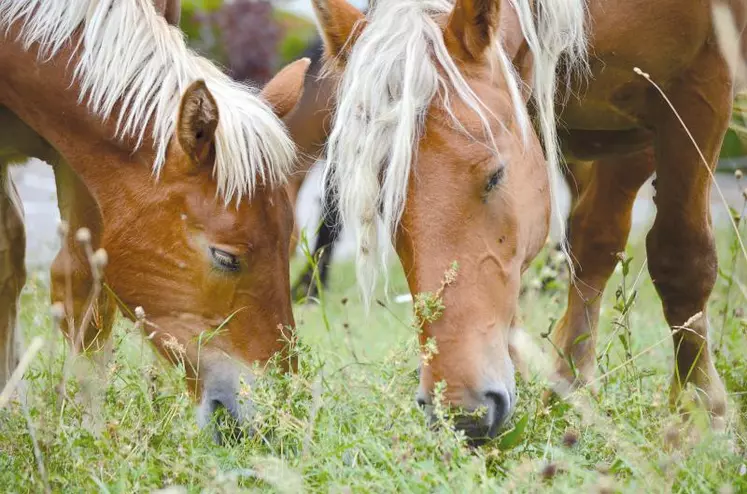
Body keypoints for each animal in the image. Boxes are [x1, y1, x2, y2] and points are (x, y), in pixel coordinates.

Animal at [312, 0, 740, 440]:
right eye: (383, 201)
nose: (461, 414)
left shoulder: (700, 91)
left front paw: (699, 413)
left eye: (495, 175)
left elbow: (682, 259)